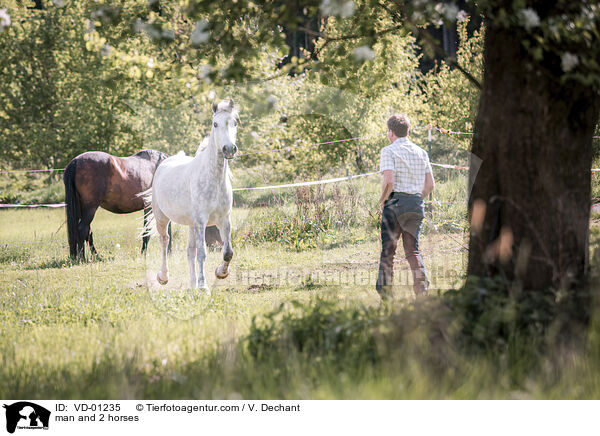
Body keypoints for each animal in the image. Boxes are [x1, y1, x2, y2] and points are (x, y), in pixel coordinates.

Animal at [146, 99, 238, 290]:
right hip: (162, 218)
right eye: (215, 124)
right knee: (165, 241)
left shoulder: (224, 220)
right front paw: (203, 287)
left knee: (190, 251)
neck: (213, 179)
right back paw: (163, 277)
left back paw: (192, 284)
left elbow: (227, 252)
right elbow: (202, 253)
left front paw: (220, 273)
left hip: (190, 224)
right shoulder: (201, 222)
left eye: (235, 123)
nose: (229, 149)